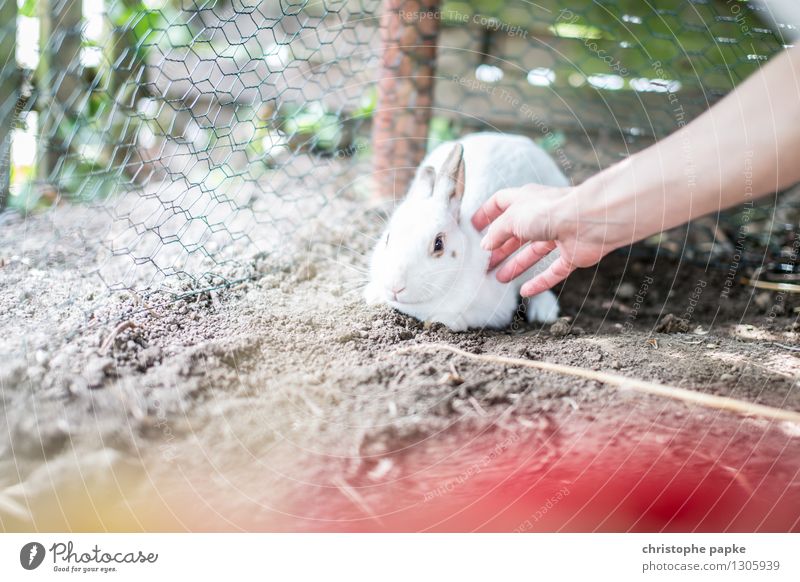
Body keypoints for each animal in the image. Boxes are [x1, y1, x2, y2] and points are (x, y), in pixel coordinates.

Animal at [366, 133, 564, 334]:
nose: (395, 286)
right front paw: (373, 296)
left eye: (438, 244)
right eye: (387, 238)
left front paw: (445, 321)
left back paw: (544, 312)